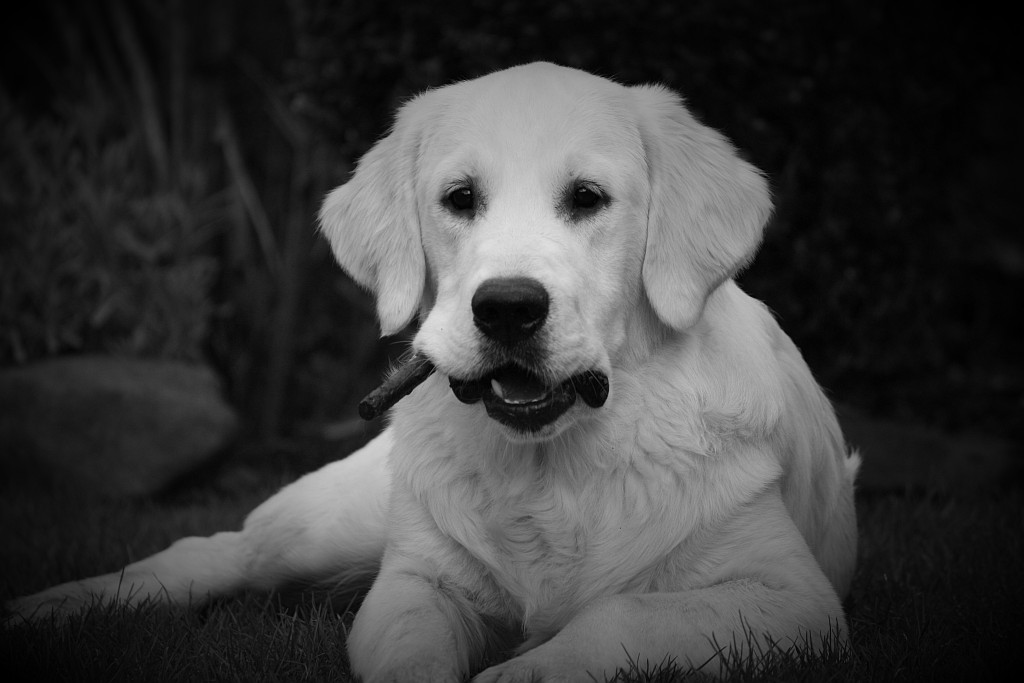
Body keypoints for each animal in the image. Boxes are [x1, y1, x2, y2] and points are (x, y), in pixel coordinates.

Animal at [6, 61, 856, 679]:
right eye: (459, 197)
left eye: (588, 197)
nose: (508, 307)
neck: (553, 469)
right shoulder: (418, 579)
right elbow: (412, 648)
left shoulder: (786, 597)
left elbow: (615, 618)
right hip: (338, 520)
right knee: (213, 551)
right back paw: (49, 606)